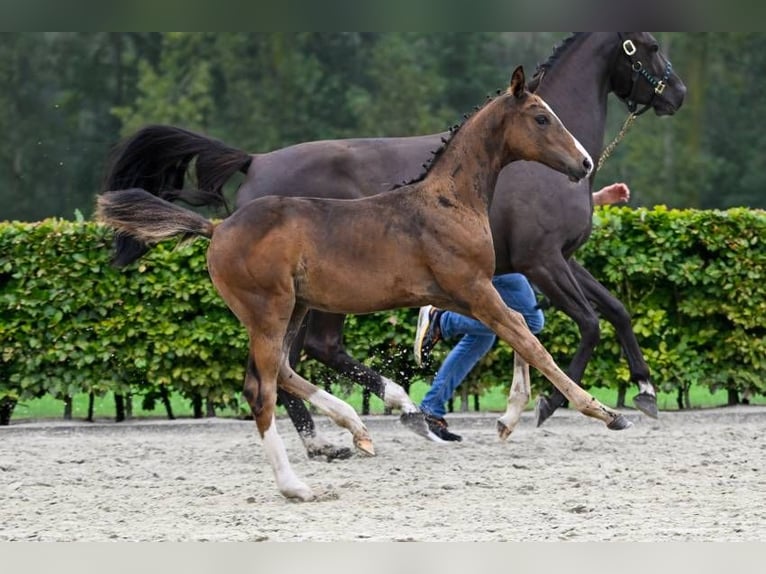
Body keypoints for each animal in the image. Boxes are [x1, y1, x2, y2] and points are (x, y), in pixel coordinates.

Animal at [103, 32, 688, 464]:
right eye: (542, 117)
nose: (584, 163)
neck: (449, 198)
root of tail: (219, 226)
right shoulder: (511, 272)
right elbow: (545, 335)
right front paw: (588, 408)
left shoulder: (488, 283)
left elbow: (550, 326)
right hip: (276, 309)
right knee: (285, 369)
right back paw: (373, 420)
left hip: (294, 307)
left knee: (286, 367)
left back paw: (358, 428)